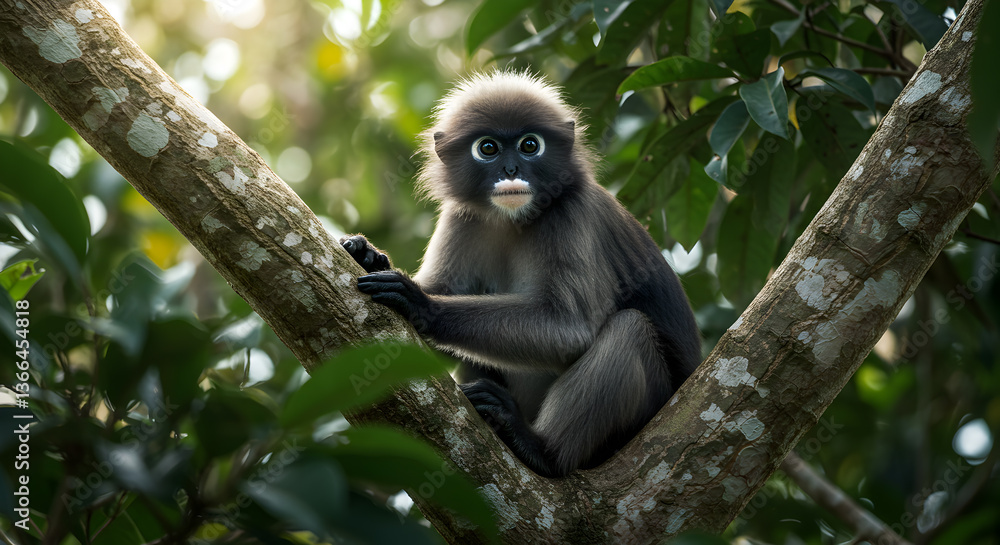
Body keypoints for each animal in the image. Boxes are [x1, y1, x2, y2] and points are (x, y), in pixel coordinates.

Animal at [340, 70, 701, 478]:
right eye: (488, 148)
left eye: (530, 145)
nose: (511, 171)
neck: (511, 220)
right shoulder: (463, 217)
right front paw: (368, 255)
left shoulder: (569, 213)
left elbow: (570, 328)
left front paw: (421, 303)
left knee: (630, 330)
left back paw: (539, 448)